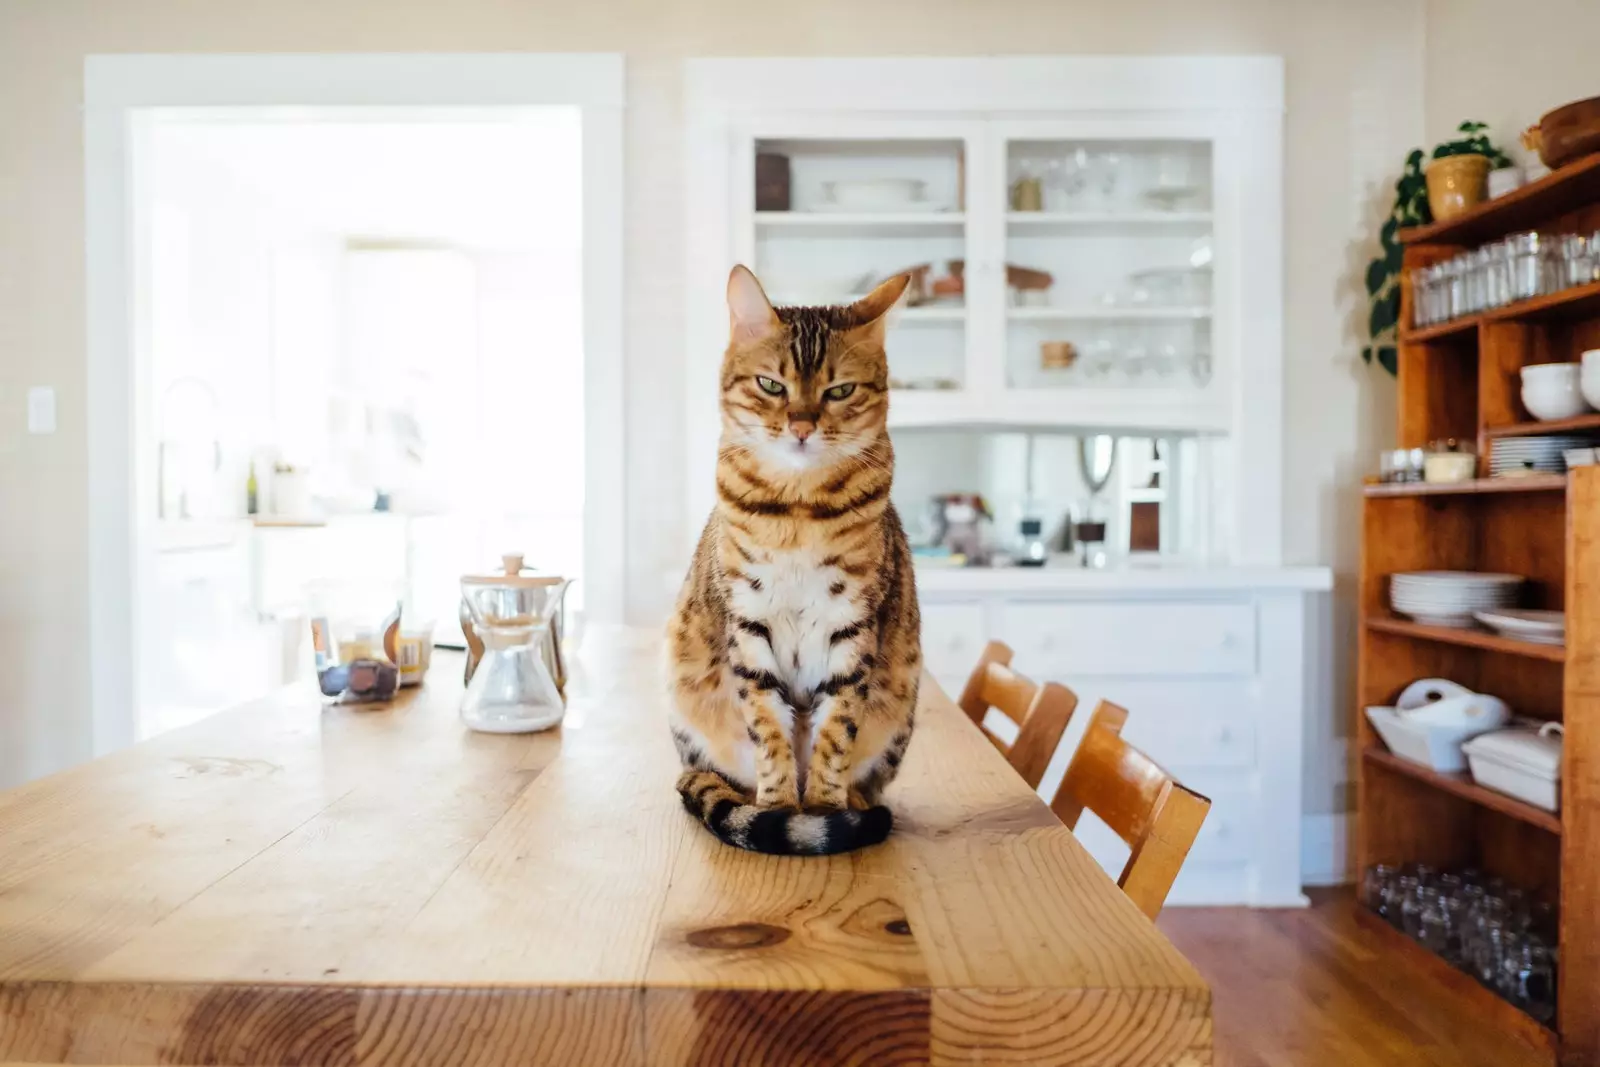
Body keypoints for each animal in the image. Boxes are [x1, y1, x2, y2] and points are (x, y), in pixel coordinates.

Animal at [665, 267, 928, 857]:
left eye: (840, 390)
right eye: (771, 385)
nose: (802, 426)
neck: (799, 509)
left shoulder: (853, 625)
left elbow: (836, 731)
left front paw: (825, 810)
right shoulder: (748, 620)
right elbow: (767, 728)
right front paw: (780, 808)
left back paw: (854, 804)